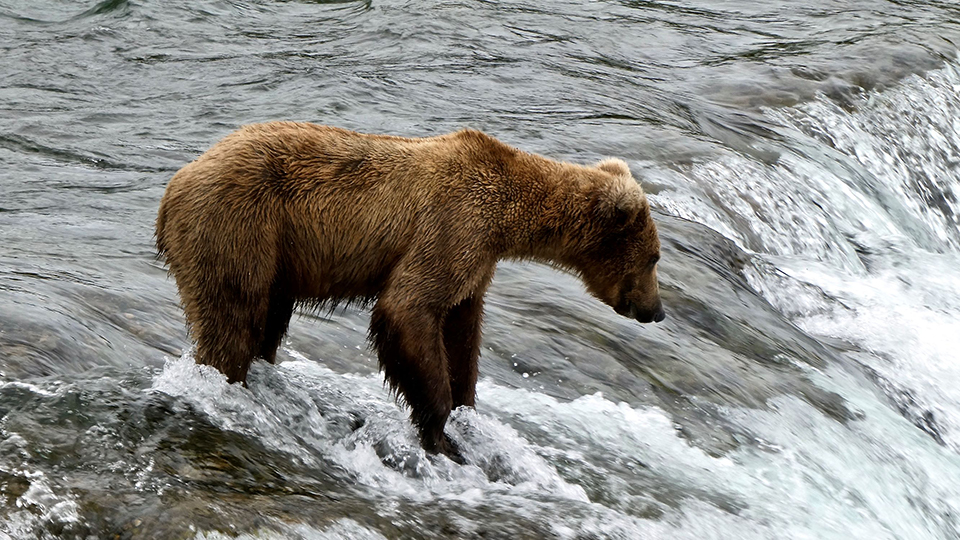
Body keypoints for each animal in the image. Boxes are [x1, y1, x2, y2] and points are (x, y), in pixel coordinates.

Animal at [156, 122, 665, 463]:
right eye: (655, 258)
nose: (656, 311)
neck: (508, 222)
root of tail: (174, 185)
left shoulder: (477, 263)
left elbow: (462, 331)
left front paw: (467, 409)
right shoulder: (453, 226)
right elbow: (408, 309)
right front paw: (441, 435)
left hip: (275, 257)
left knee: (265, 322)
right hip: (237, 227)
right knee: (233, 323)